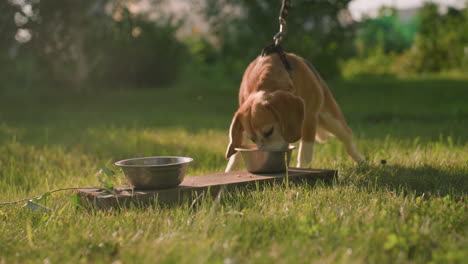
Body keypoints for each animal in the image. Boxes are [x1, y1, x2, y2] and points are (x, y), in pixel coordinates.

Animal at [225, 51, 364, 172]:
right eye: (253, 140)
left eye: (269, 131)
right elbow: (236, 151)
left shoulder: (309, 118)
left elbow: (305, 151)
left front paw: (302, 167)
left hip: (332, 119)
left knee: (348, 139)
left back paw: (362, 162)